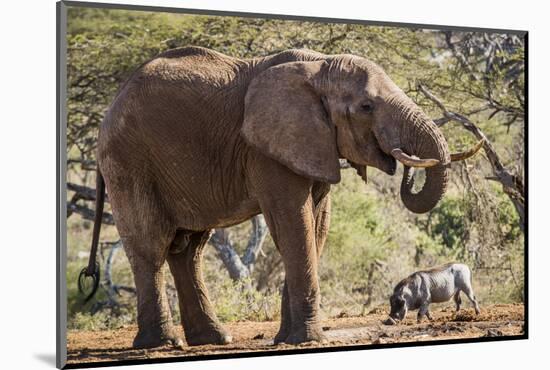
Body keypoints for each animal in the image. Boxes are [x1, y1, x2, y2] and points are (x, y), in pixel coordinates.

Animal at [78, 45, 484, 346]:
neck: (319, 66)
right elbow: (293, 222)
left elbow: (315, 226)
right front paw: (308, 340)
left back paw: (215, 339)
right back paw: (164, 344)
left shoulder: (313, 143)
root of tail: (109, 109)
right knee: (151, 247)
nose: (404, 163)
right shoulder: (265, 150)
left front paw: (286, 340)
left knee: (188, 249)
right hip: (129, 161)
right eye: (366, 107)